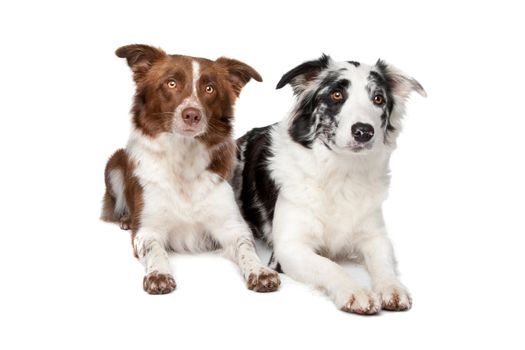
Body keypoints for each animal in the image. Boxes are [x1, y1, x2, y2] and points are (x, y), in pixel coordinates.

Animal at [99, 44, 278, 296]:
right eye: (171, 83)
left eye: (209, 88)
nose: (192, 114)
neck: (183, 158)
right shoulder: (147, 229)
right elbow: (155, 249)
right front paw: (158, 274)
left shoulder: (232, 226)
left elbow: (247, 248)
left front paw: (260, 271)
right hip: (114, 163)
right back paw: (125, 219)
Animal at [233, 54, 426, 314]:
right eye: (336, 95)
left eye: (378, 99)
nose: (364, 131)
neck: (341, 174)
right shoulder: (288, 249)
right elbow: (328, 265)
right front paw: (355, 291)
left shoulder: (376, 237)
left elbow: (383, 262)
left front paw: (392, 287)